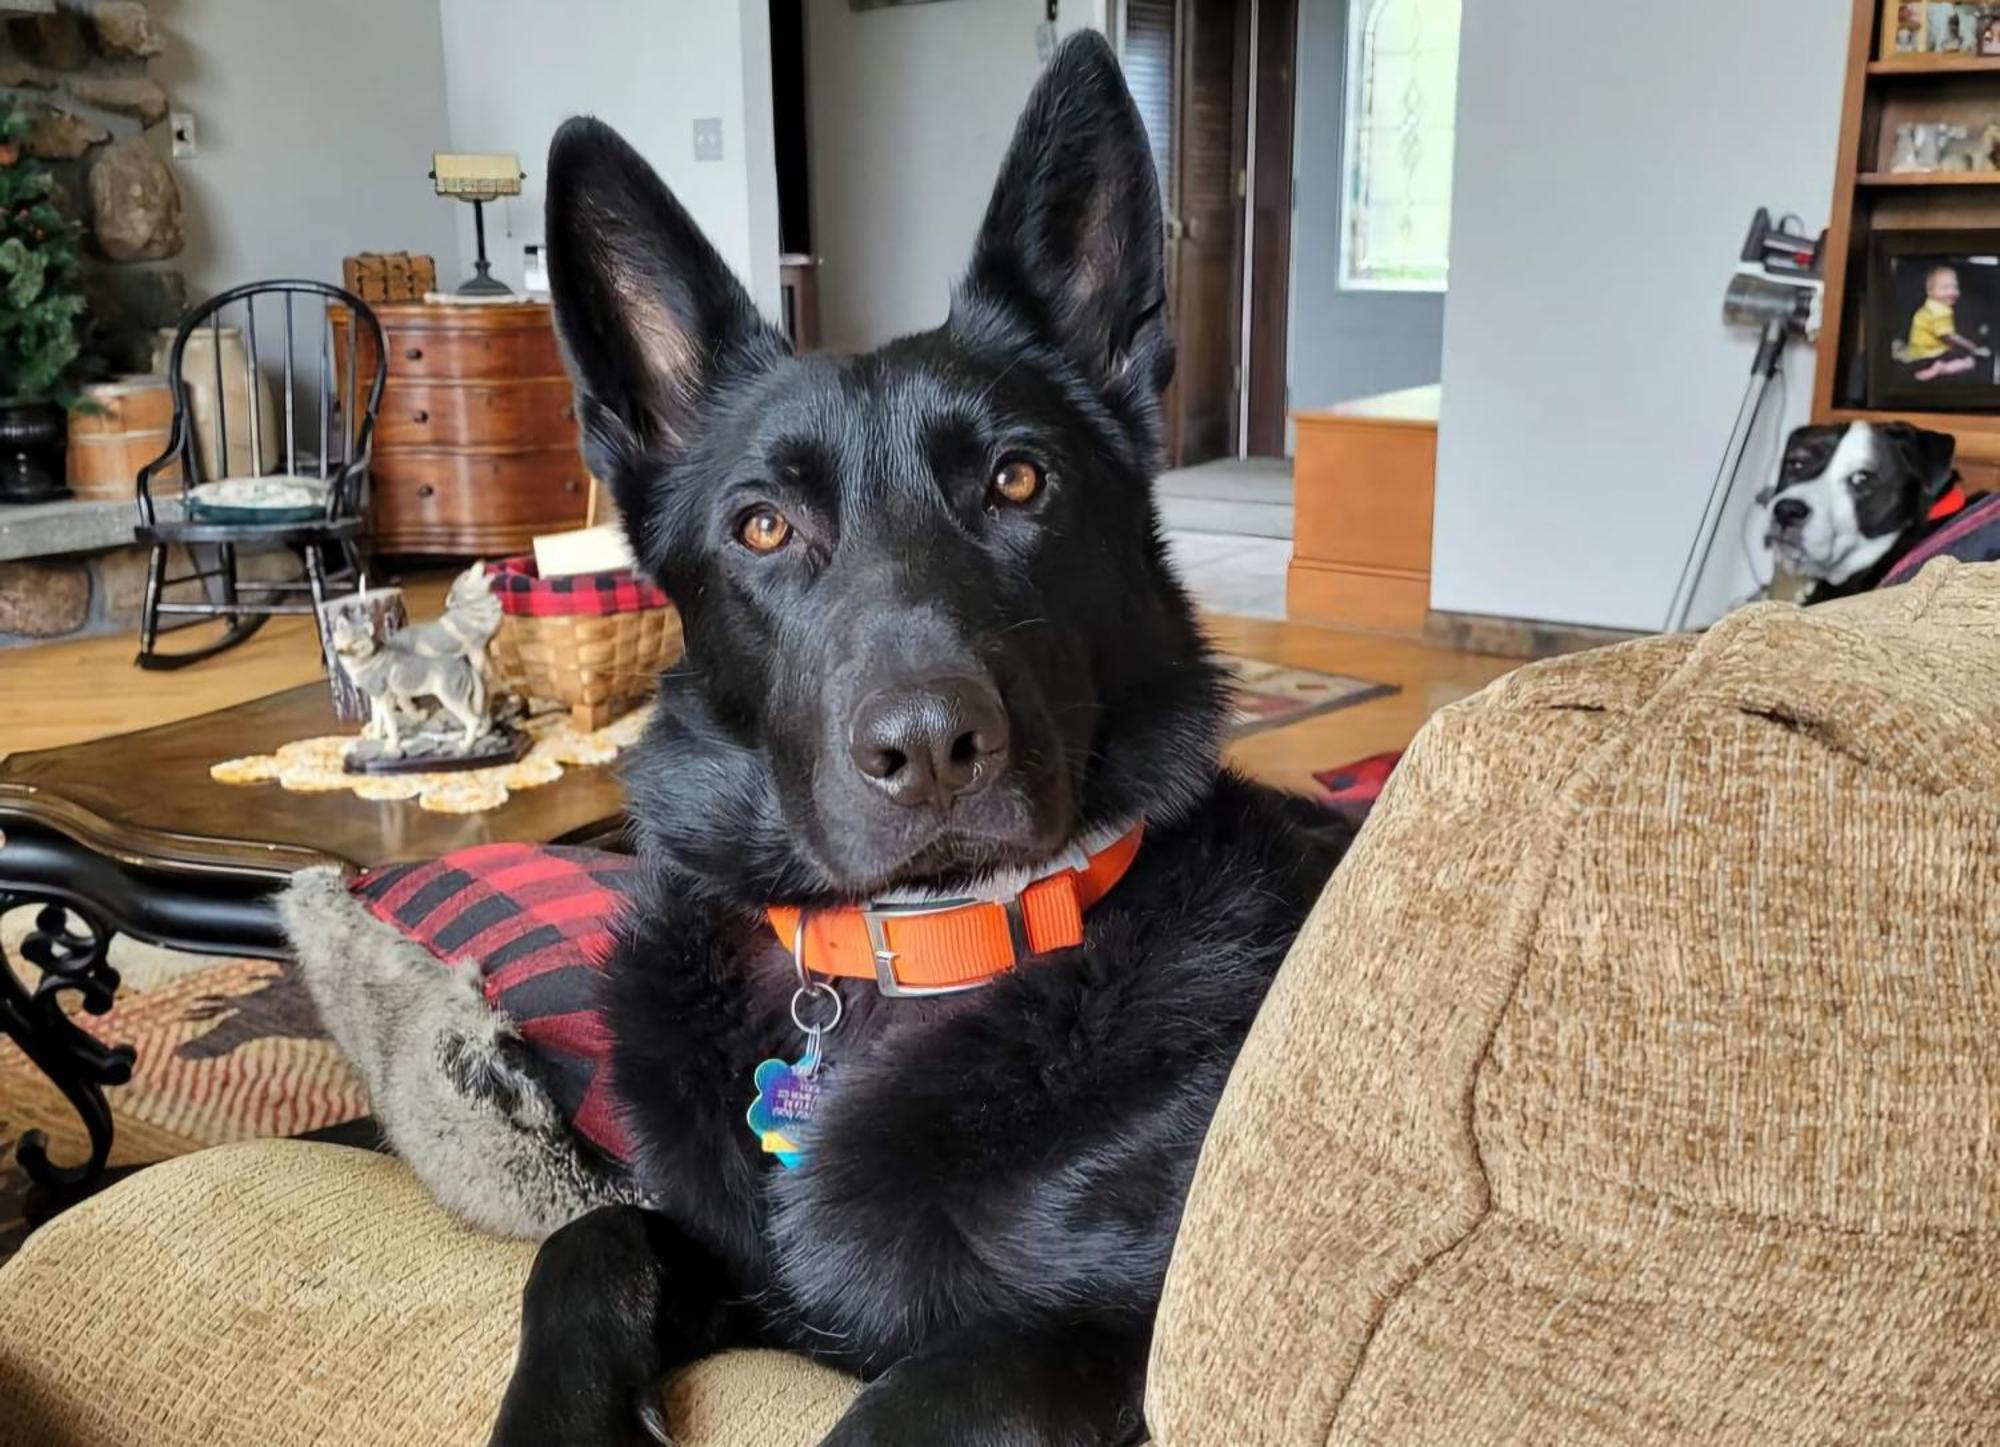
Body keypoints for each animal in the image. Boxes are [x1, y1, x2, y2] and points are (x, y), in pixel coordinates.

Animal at [490, 33, 1352, 1447]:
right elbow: (590, 1240)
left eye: (1017, 481)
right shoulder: (722, 1255)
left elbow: (905, 1399)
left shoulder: (1107, 1339)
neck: (907, 954)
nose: (932, 747)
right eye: (763, 525)